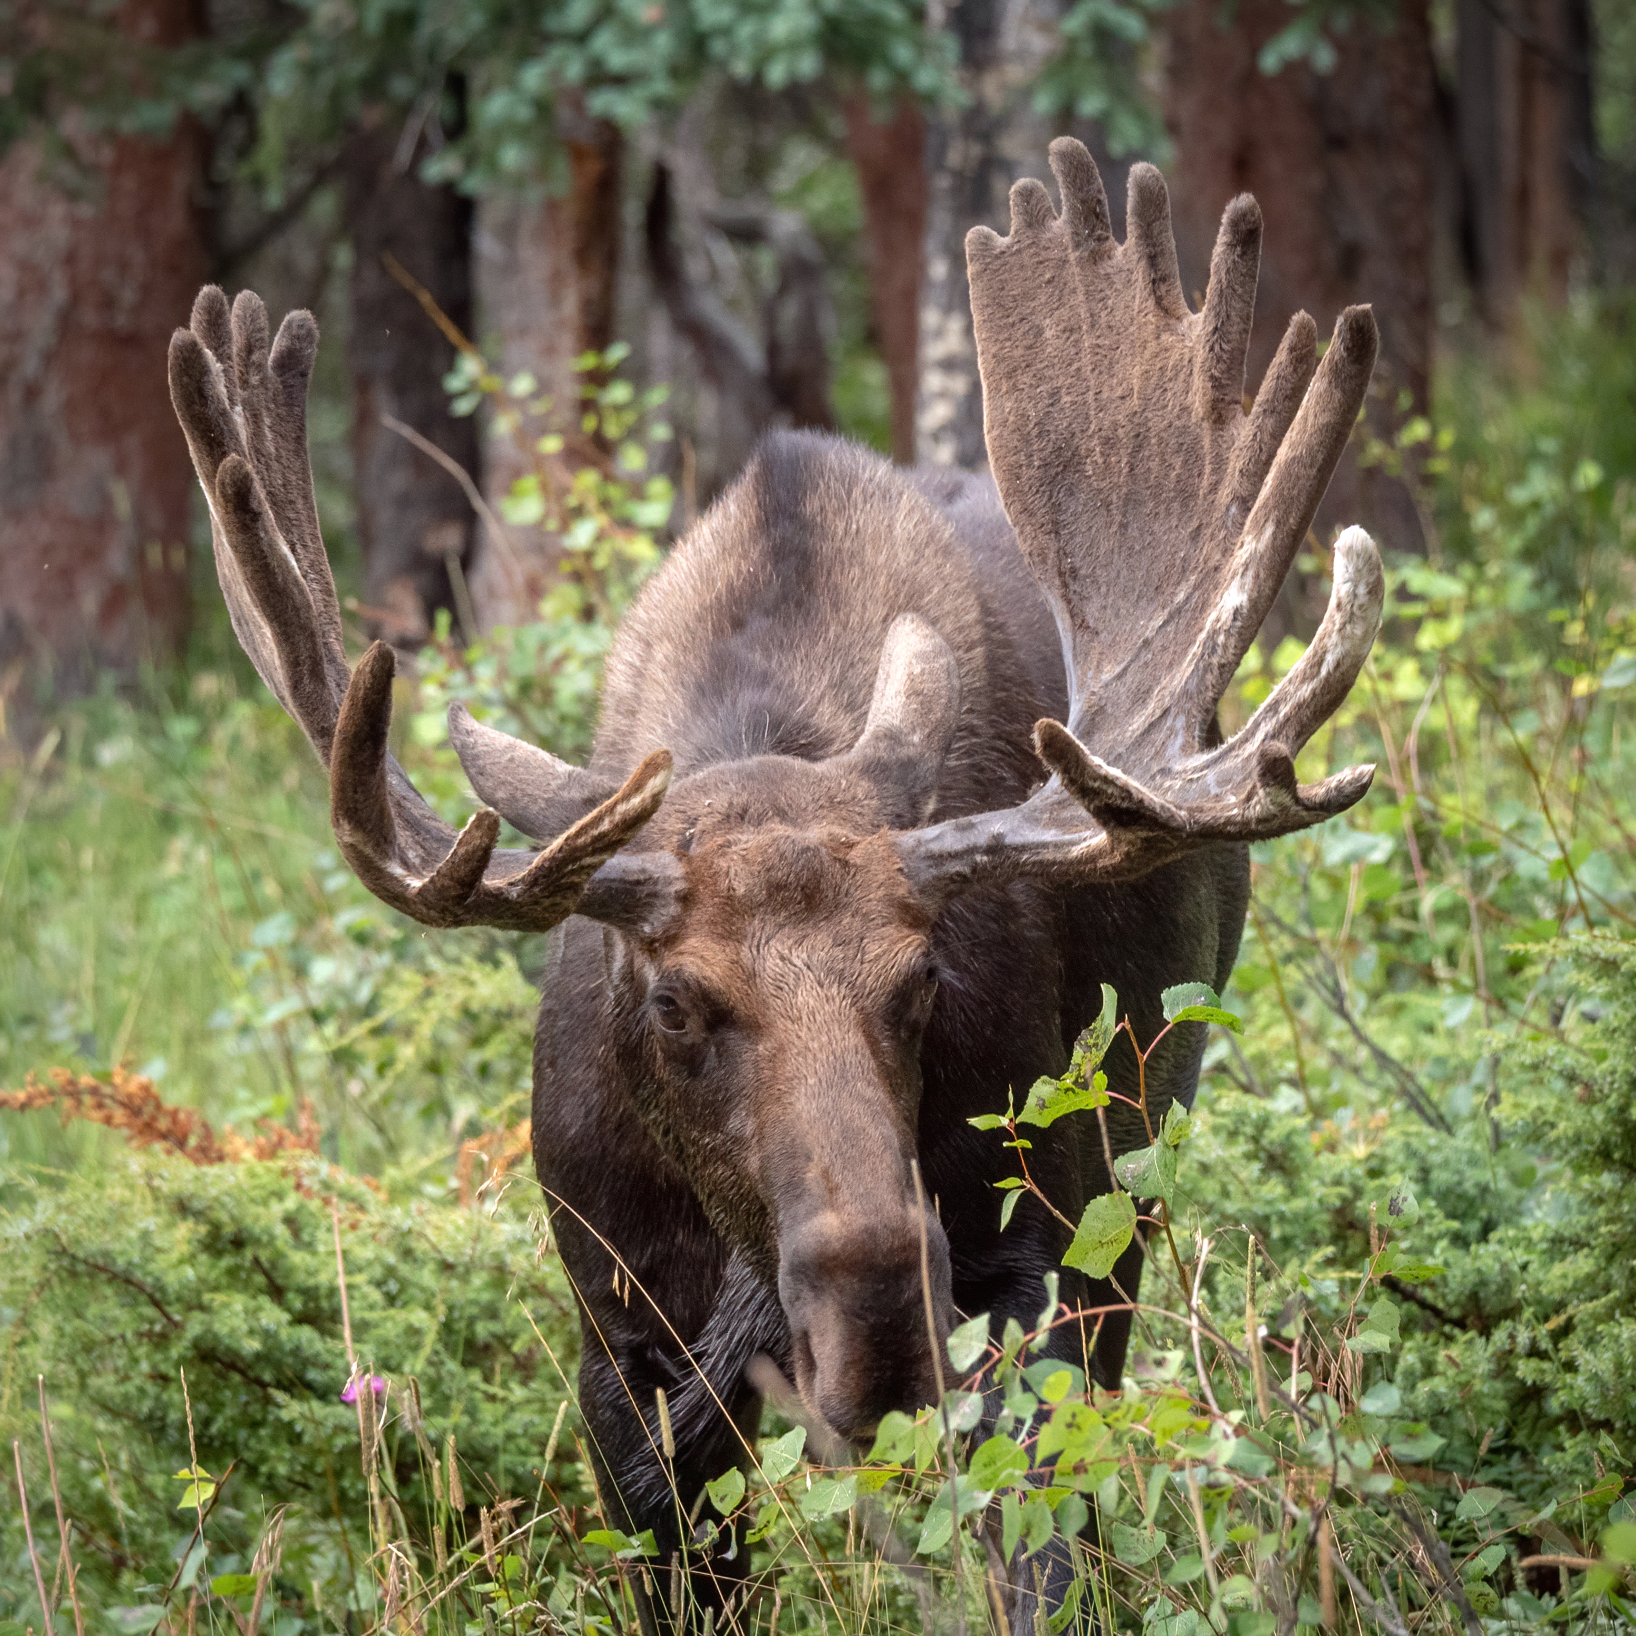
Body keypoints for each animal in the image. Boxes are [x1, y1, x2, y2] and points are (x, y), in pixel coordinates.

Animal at [167, 140, 1382, 1631]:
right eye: (675, 1002)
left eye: (923, 980)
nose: (874, 1320)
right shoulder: (619, 1341)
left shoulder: (1028, 1266)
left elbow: (1036, 1550)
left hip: (1130, 1177)